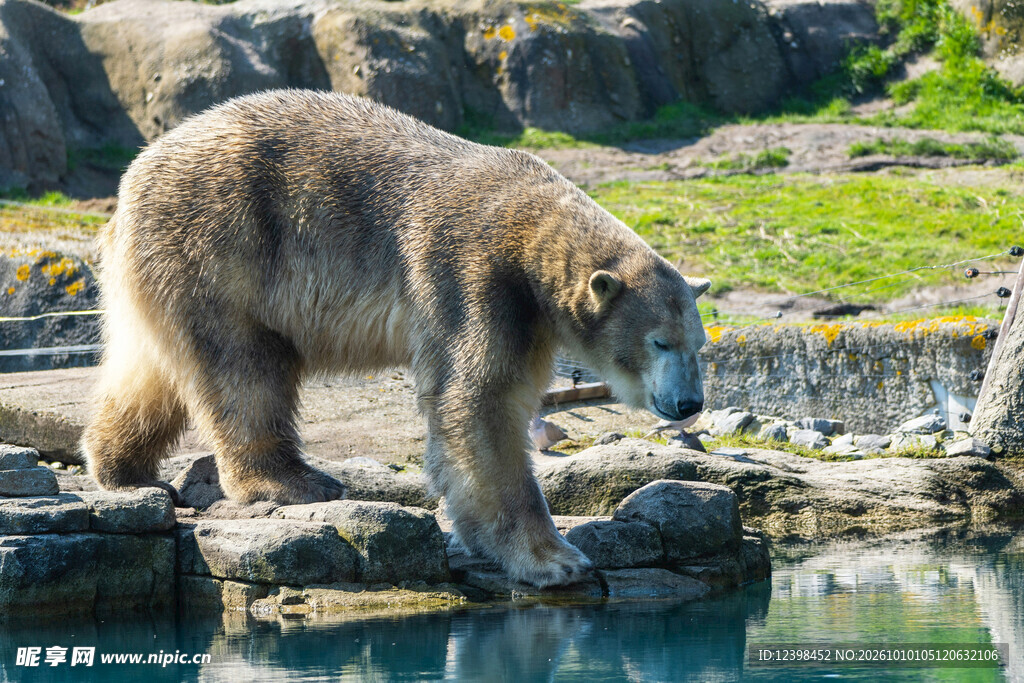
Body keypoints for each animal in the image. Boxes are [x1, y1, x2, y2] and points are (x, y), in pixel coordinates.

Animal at [81, 90, 711, 587]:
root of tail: (132, 182)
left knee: (149, 368)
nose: (688, 403)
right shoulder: (475, 280)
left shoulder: (528, 315)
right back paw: (293, 480)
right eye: (660, 342)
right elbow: (478, 403)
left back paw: (121, 468)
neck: (531, 231)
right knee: (244, 369)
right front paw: (554, 560)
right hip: (222, 247)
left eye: (698, 344)